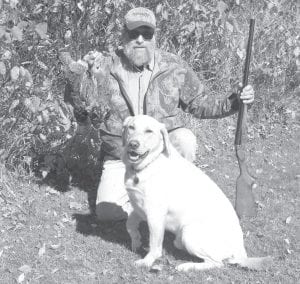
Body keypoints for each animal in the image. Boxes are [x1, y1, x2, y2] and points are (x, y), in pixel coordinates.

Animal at [121, 115, 270, 270]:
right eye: (131, 127)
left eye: (149, 131)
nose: (133, 144)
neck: (145, 166)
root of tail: (241, 253)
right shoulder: (139, 207)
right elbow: (129, 224)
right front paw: (136, 241)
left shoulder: (155, 214)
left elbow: (154, 246)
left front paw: (147, 261)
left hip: (188, 232)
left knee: (217, 263)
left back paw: (187, 266)